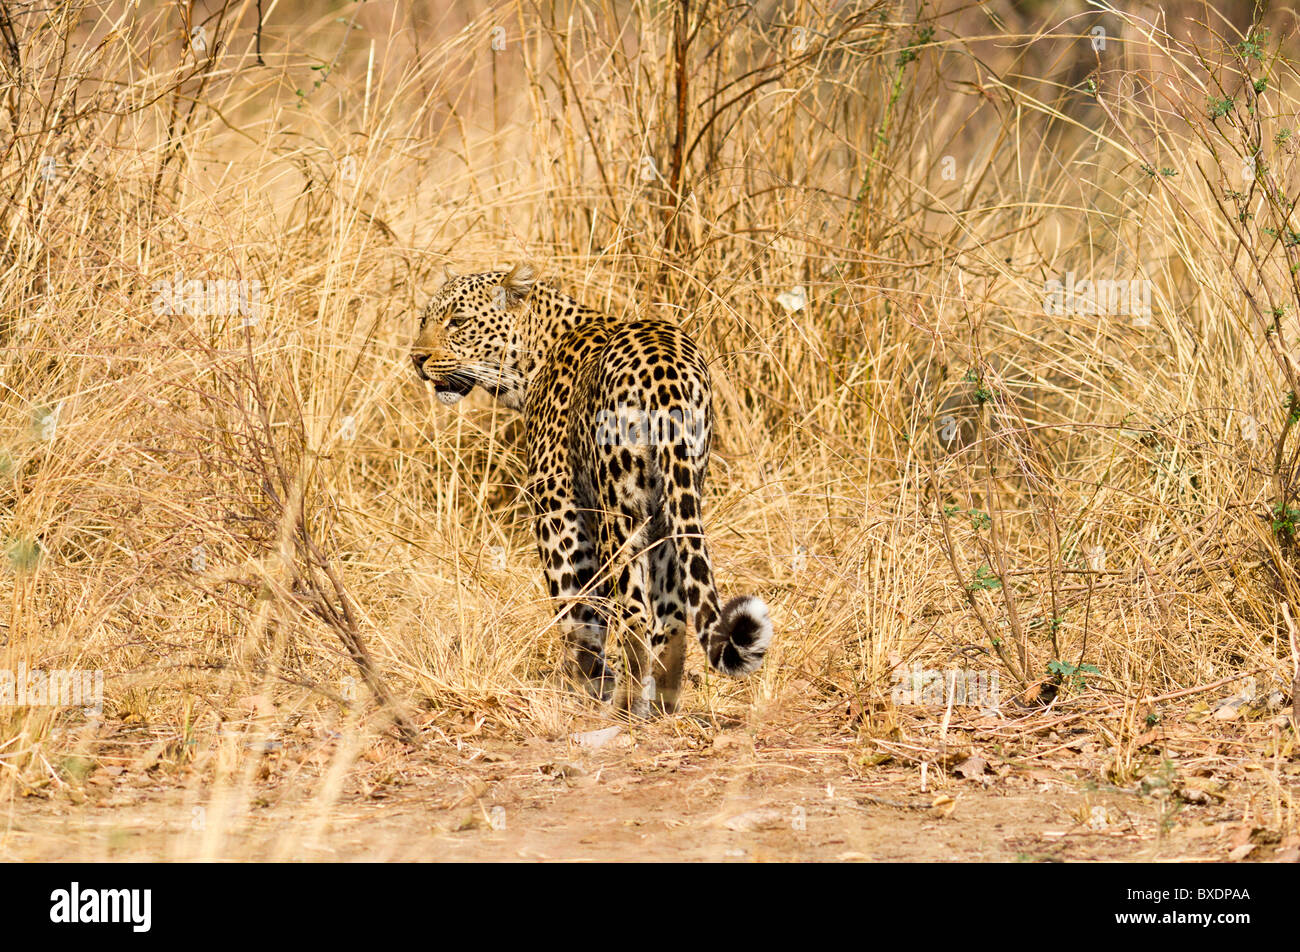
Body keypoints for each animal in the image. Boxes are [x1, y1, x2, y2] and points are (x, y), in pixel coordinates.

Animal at [409, 262, 772, 717]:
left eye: (458, 322)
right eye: (424, 320)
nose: (417, 358)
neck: (532, 359)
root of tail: (665, 372)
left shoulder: (558, 508)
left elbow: (575, 607)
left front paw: (584, 681)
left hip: (619, 508)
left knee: (634, 614)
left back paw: (626, 705)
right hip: (677, 499)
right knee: (671, 616)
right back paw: (663, 705)